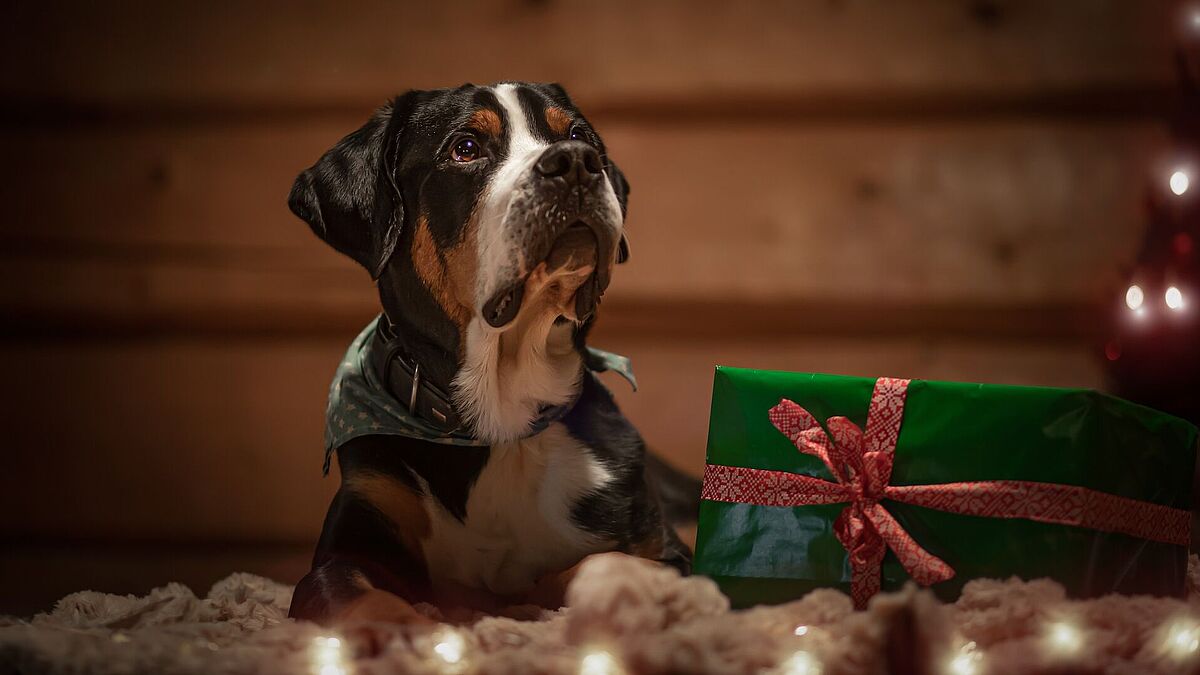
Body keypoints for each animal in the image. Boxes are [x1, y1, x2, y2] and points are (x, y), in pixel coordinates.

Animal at [286, 81, 700, 624]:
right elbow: (359, 596)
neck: (503, 420)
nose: (575, 162)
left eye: (578, 135)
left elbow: (600, 564)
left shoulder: (672, 553)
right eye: (466, 148)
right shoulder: (350, 540)